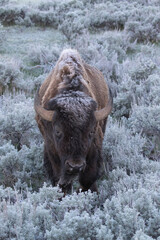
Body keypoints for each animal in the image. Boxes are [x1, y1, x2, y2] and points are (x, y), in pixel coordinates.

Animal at [34, 48, 112, 193]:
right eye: (58, 131)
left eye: (91, 132)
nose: (75, 166)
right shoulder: (52, 149)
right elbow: (60, 180)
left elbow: (88, 179)